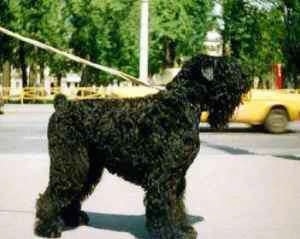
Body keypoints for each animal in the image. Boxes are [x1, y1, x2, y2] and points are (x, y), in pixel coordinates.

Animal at [34, 54, 250, 239]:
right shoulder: (163, 176)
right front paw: (170, 233)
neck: (182, 103)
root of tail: (62, 105)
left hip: (88, 167)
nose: (246, 78)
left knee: (72, 193)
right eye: (225, 68)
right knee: (51, 195)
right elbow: (165, 205)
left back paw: (72, 219)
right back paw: (47, 227)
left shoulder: (177, 176)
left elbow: (177, 205)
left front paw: (183, 229)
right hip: (70, 163)